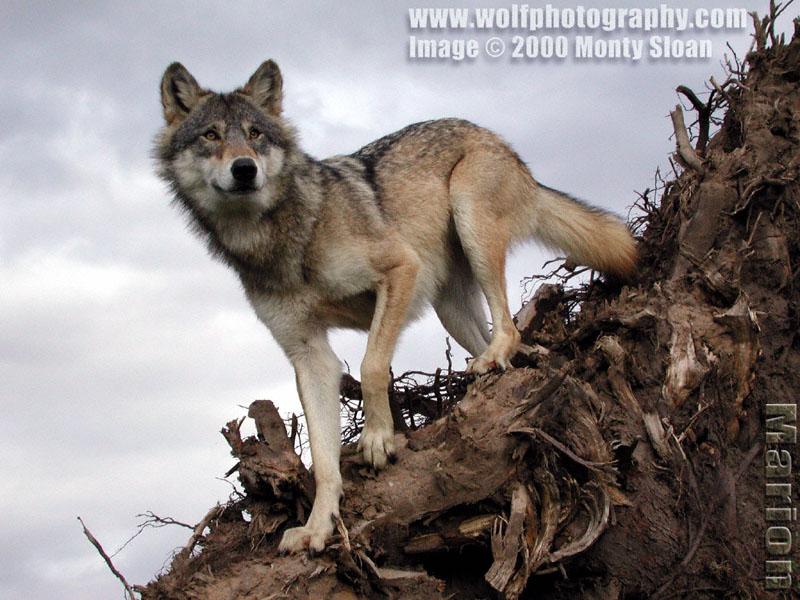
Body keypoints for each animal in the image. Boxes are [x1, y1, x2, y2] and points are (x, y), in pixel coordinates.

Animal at [155, 60, 637, 554]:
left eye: (255, 134)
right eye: (211, 135)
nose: (245, 169)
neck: (282, 237)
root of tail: (496, 139)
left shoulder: (401, 270)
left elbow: (371, 367)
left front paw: (378, 439)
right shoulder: (309, 355)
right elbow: (322, 459)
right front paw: (318, 526)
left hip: (471, 223)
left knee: (508, 326)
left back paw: (494, 359)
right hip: (452, 309)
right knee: (517, 343)